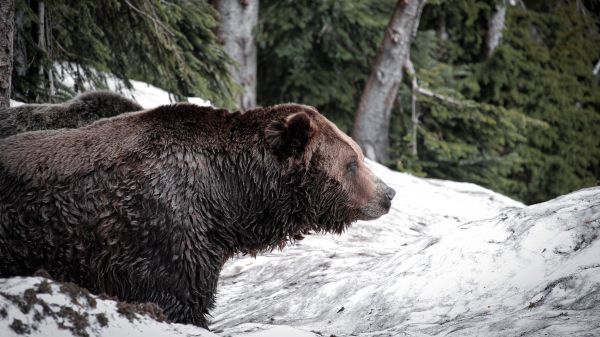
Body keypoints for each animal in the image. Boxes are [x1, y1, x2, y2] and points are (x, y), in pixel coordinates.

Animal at [0, 101, 396, 326]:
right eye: (351, 162)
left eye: (358, 154)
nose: (388, 193)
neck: (227, 197)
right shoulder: (162, 232)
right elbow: (179, 300)